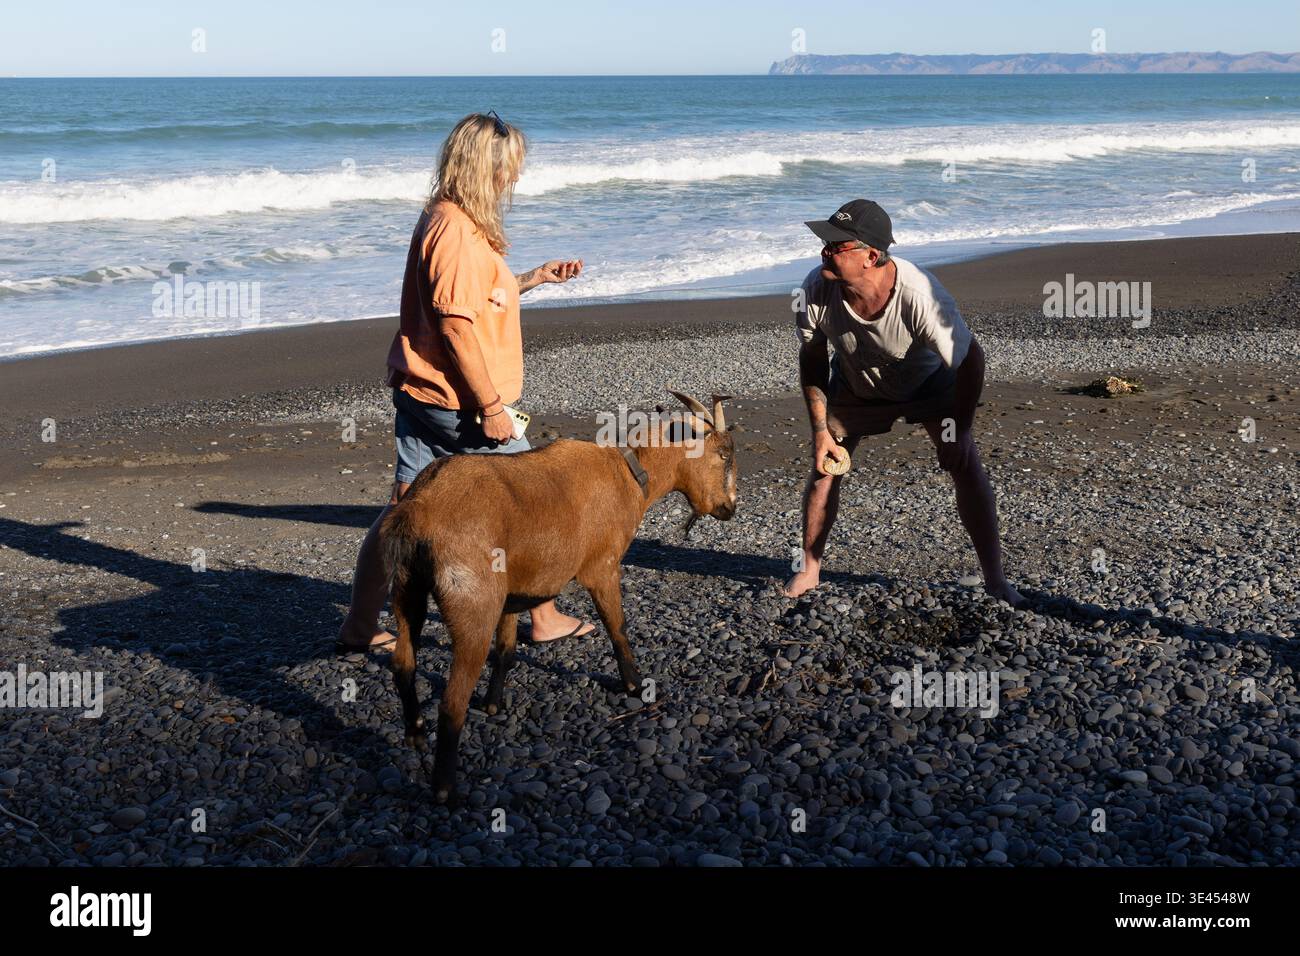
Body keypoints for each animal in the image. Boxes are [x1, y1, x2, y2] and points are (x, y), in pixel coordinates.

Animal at [380, 390, 737, 803]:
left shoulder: (513, 591)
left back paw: (415, 733)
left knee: (403, 664)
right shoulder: (602, 565)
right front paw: (635, 685)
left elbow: (506, 650)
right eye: (723, 454)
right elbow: (617, 627)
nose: (730, 507)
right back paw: (444, 789)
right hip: (473, 603)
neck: (629, 475)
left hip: (406, 591)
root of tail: (418, 511)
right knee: (452, 701)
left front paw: (493, 704)